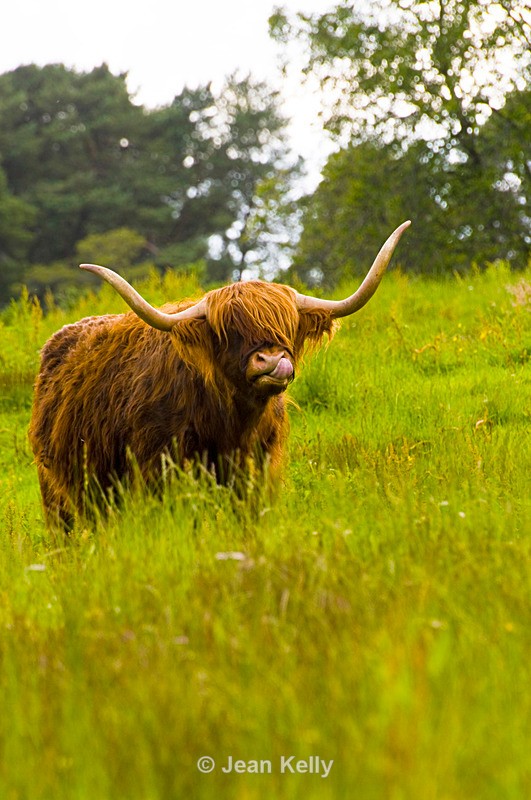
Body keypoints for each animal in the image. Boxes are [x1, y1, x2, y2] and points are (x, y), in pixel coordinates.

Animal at [29, 221, 410, 529]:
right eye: (229, 331)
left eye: (287, 327)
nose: (272, 360)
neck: (231, 422)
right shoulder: (159, 469)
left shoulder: (256, 472)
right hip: (57, 493)